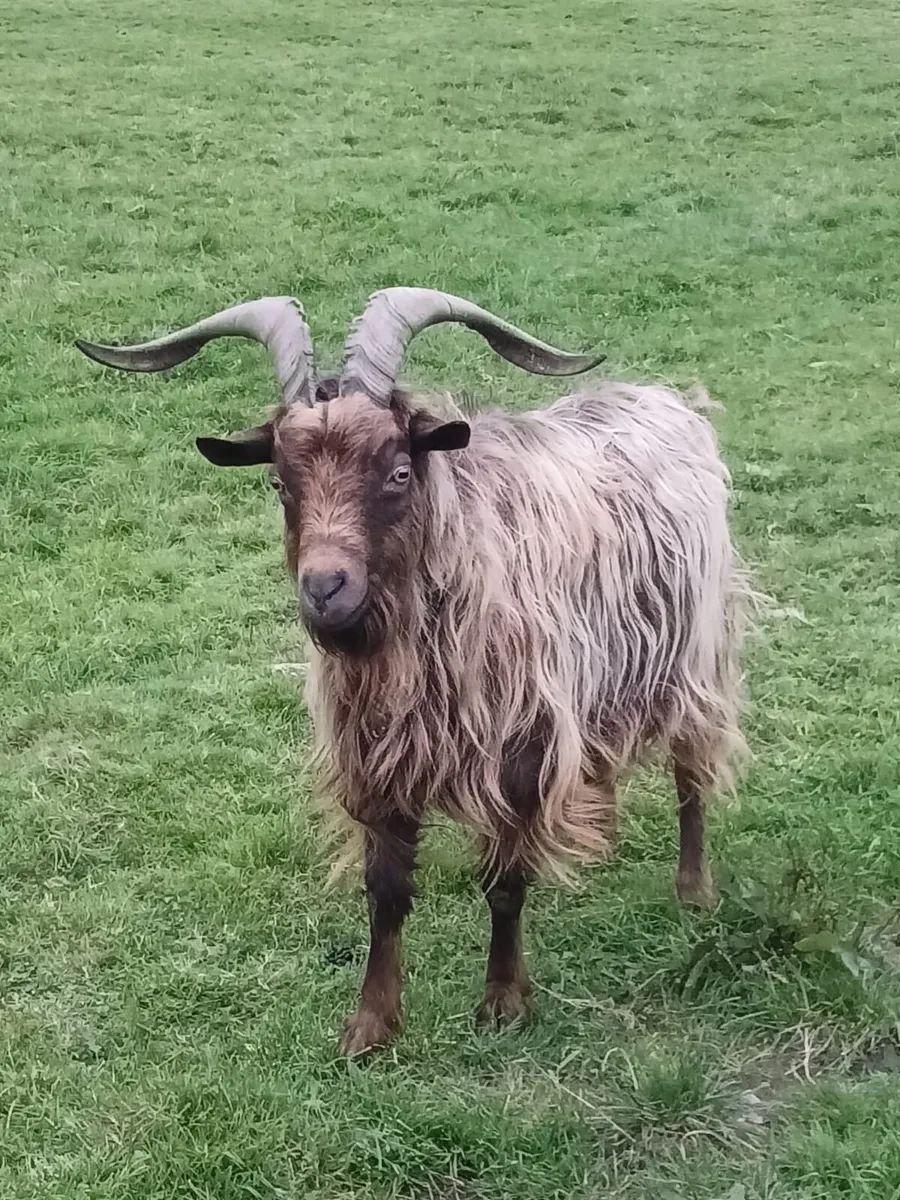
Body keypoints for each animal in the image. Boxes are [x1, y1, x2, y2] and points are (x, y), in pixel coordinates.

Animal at [77, 287, 751, 1055]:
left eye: (398, 471)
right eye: (279, 479)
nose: (324, 589)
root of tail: (669, 401)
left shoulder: (518, 749)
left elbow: (504, 883)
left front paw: (502, 1004)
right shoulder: (377, 759)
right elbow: (387, 891)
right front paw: (371, 1027)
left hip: (697, 655)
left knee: (693, 770)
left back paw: (694, 893)